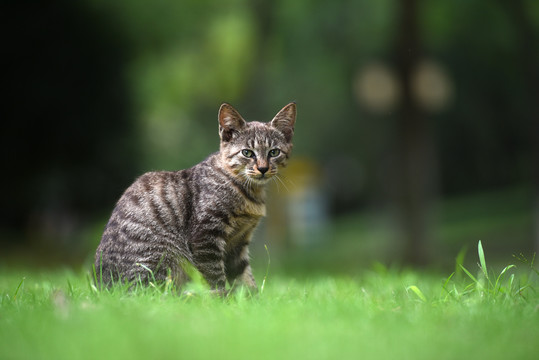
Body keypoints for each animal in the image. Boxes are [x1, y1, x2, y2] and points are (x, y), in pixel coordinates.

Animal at [93, 101, 296, 292]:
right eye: (247, 152)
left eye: (274, 152)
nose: (263, 168)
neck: (248, 191)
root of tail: (104, 287)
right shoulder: (205, 236)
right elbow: (215, 278)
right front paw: (222, 299)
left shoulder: (238, 244)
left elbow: (244, 277)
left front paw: (251, 299)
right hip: (164, 258)